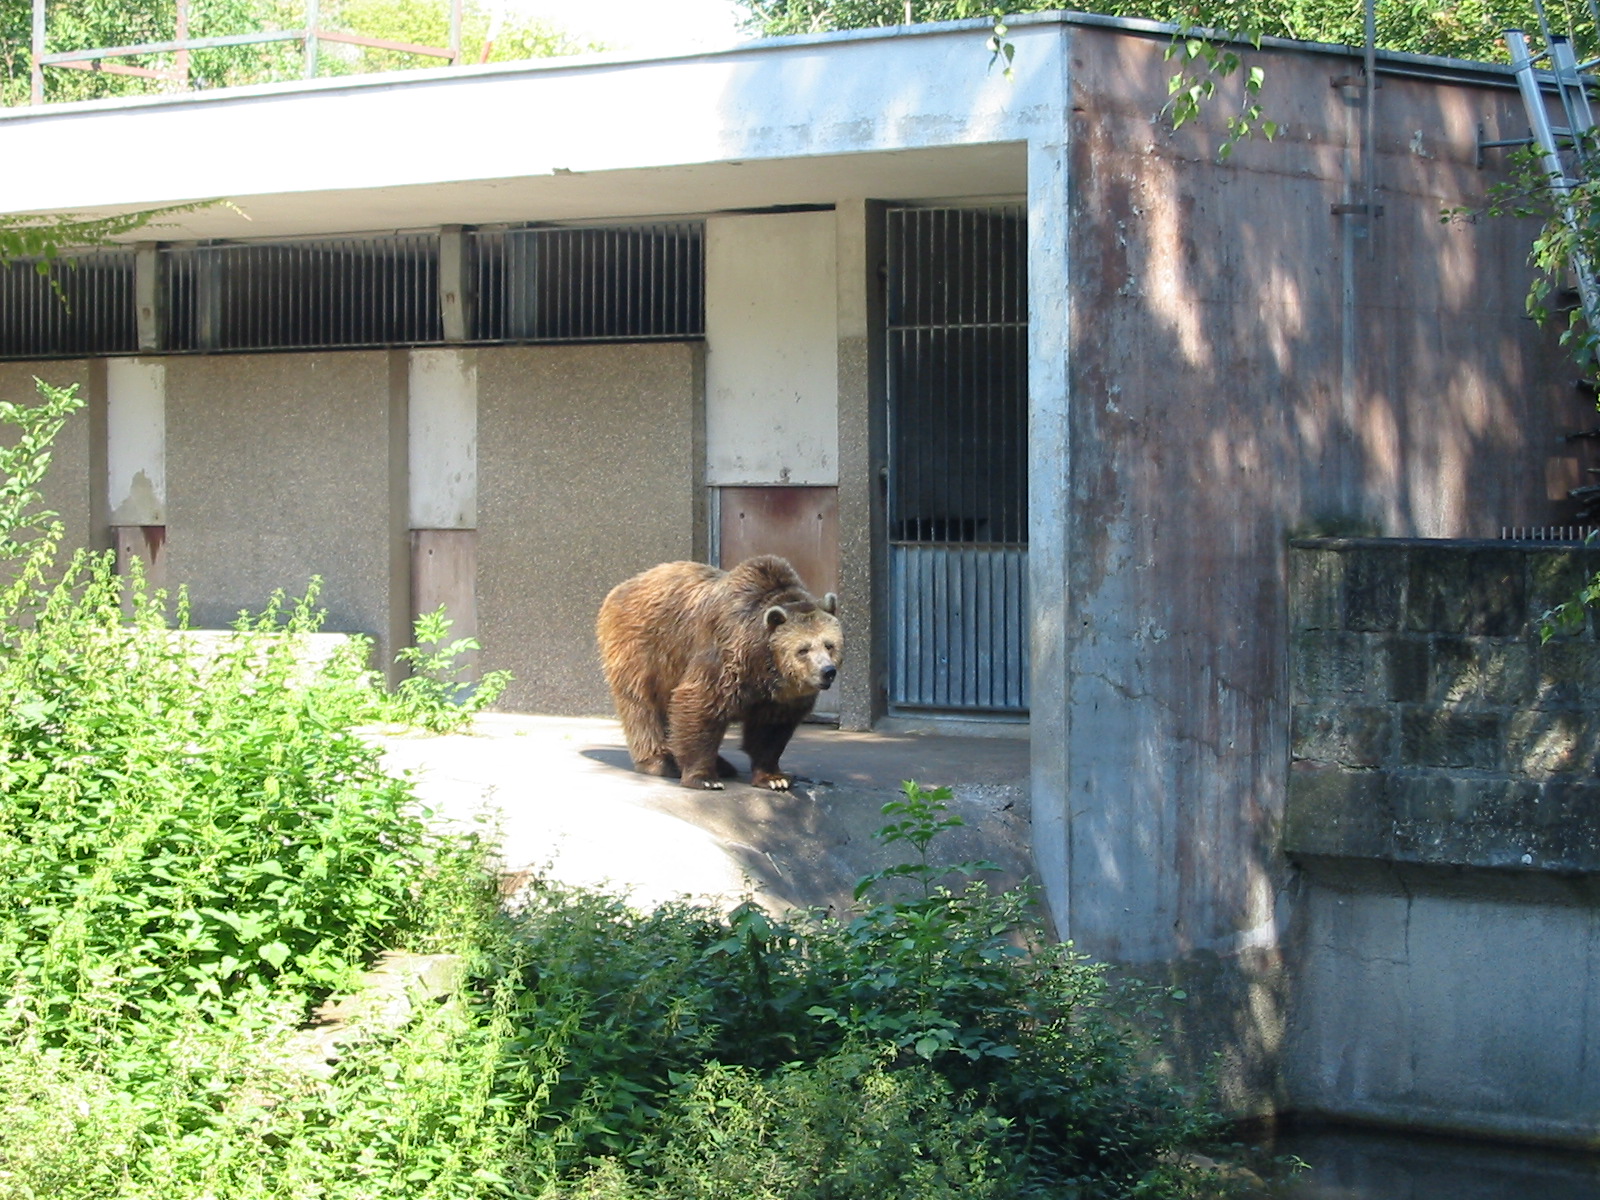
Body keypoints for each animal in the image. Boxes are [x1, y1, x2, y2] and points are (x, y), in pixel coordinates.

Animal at [596, 555, 843, 791]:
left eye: (829, 645)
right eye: (803, 649)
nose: (827, 671)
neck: (763, 666)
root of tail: (619, 588)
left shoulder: (781, 698)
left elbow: (771, 731)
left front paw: (774, 778)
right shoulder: (725, 654)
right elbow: (699, 704)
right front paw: (704, 778)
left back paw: (721, 764)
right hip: (643, 650)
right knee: (642, 707)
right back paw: (661, 761)